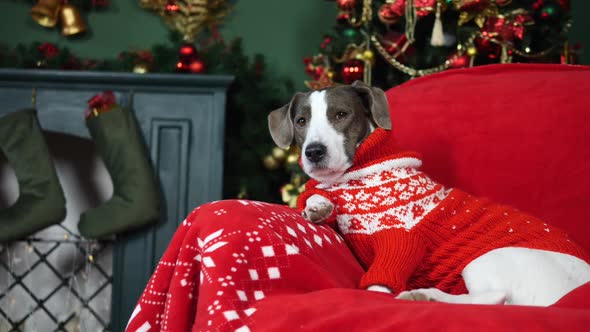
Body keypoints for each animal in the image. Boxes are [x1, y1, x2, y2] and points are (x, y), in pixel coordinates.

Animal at [270, 80, 590, 306]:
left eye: (341, 115)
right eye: (301, 122)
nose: (313, 152)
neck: (358, 175)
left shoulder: (401, 240)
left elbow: (382, 278)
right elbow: (317, 194)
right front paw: (318, 206)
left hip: (488, 259)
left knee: (498, 297)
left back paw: (424, 296)